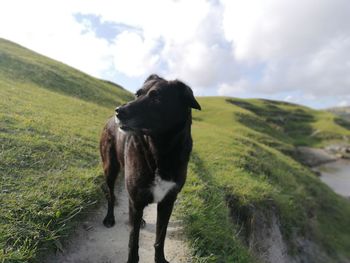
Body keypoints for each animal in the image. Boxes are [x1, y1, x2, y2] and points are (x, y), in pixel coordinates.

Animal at [100, 75, 201, 263]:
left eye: (157, 98)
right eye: (137, 94)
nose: (119, 111)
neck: (160, 152)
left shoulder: (168, 202)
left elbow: (160, 238)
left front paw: (160, 259)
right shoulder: (137, 198)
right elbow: (133, 241)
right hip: (110, 168)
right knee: (111, 194)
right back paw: (110, 218)